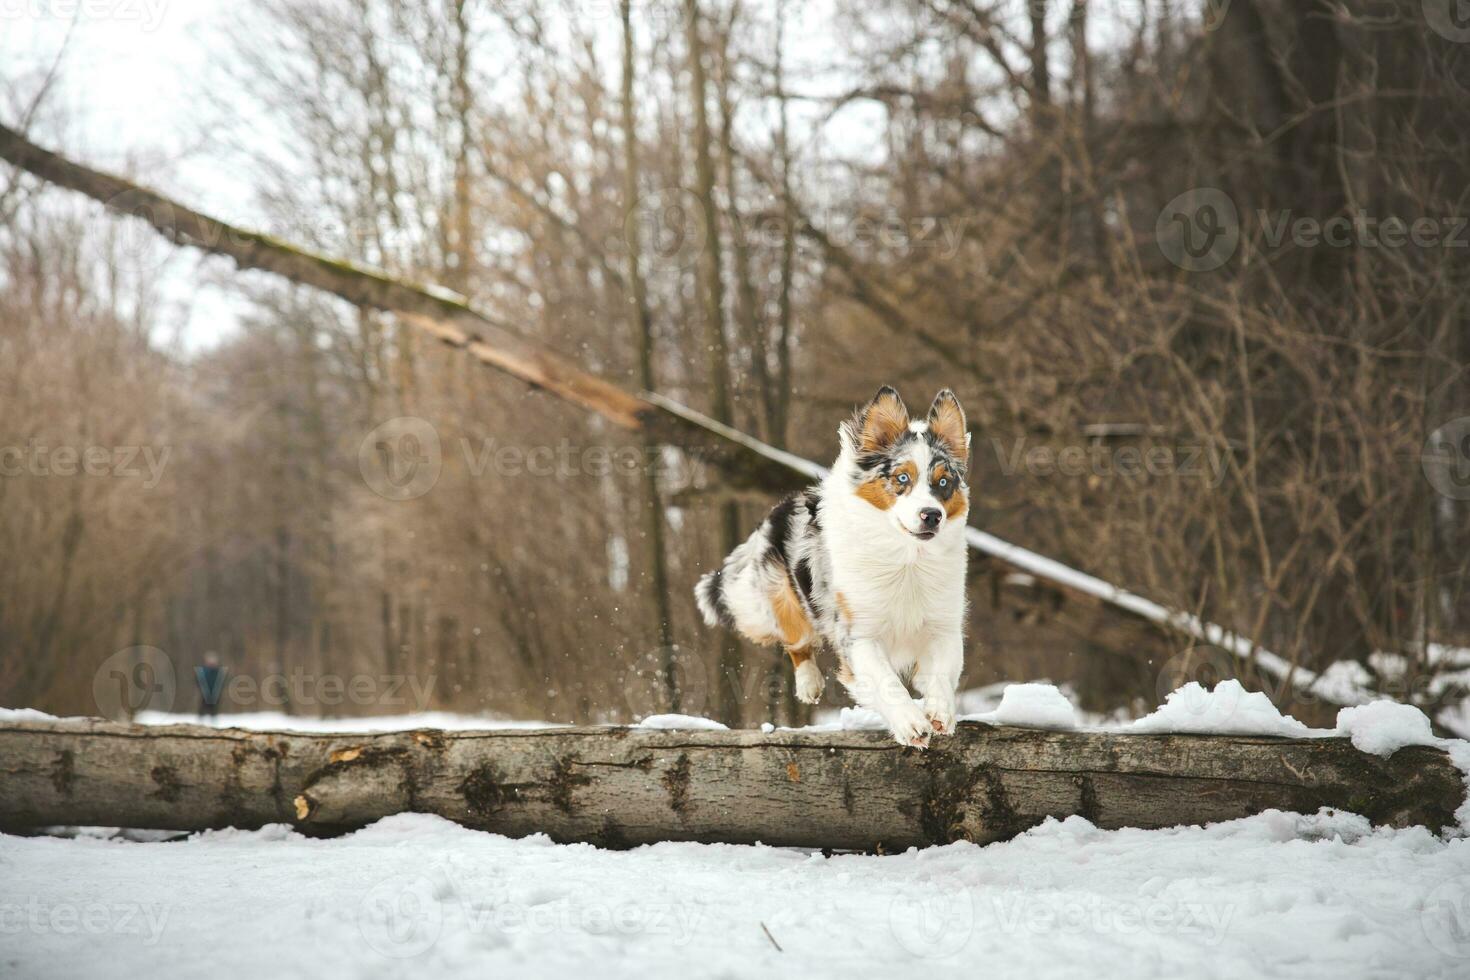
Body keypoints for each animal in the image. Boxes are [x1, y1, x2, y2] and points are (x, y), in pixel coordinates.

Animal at [693, 387, 970, 746]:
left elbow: (941, 673)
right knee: (796, 641)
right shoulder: (858, 632)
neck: (906, 558)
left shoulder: (942, 624)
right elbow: (885, 681)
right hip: (782, 597)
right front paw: (911, 723)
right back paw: (809, 683)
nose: (932, 515)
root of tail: (780, 508)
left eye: (944, 483)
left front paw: (940, 713)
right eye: (902, 478)